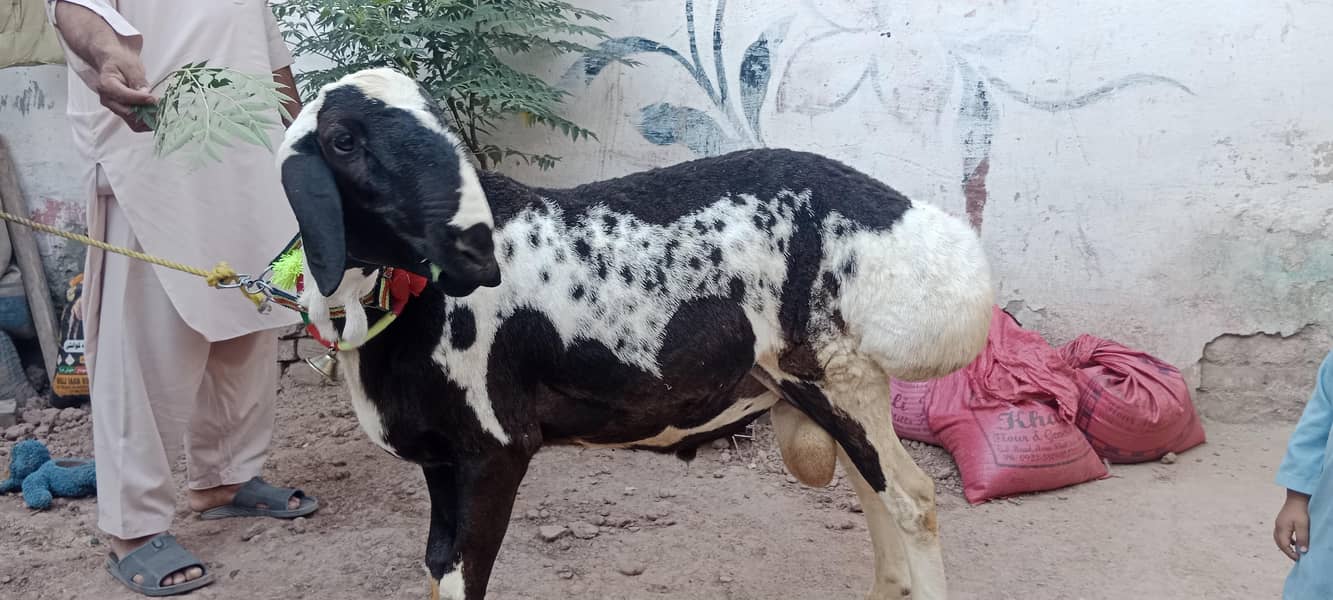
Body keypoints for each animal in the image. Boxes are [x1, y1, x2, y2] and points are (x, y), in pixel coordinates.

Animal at [278, 67, 994, 600]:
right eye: (342, 140)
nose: (476, 251)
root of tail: (893, 216)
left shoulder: (494, 448)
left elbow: (462, 575)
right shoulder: (440, 459)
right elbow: (436, 566)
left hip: (834, 373)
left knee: (913, 498)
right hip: (825, 385)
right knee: (874, 491)